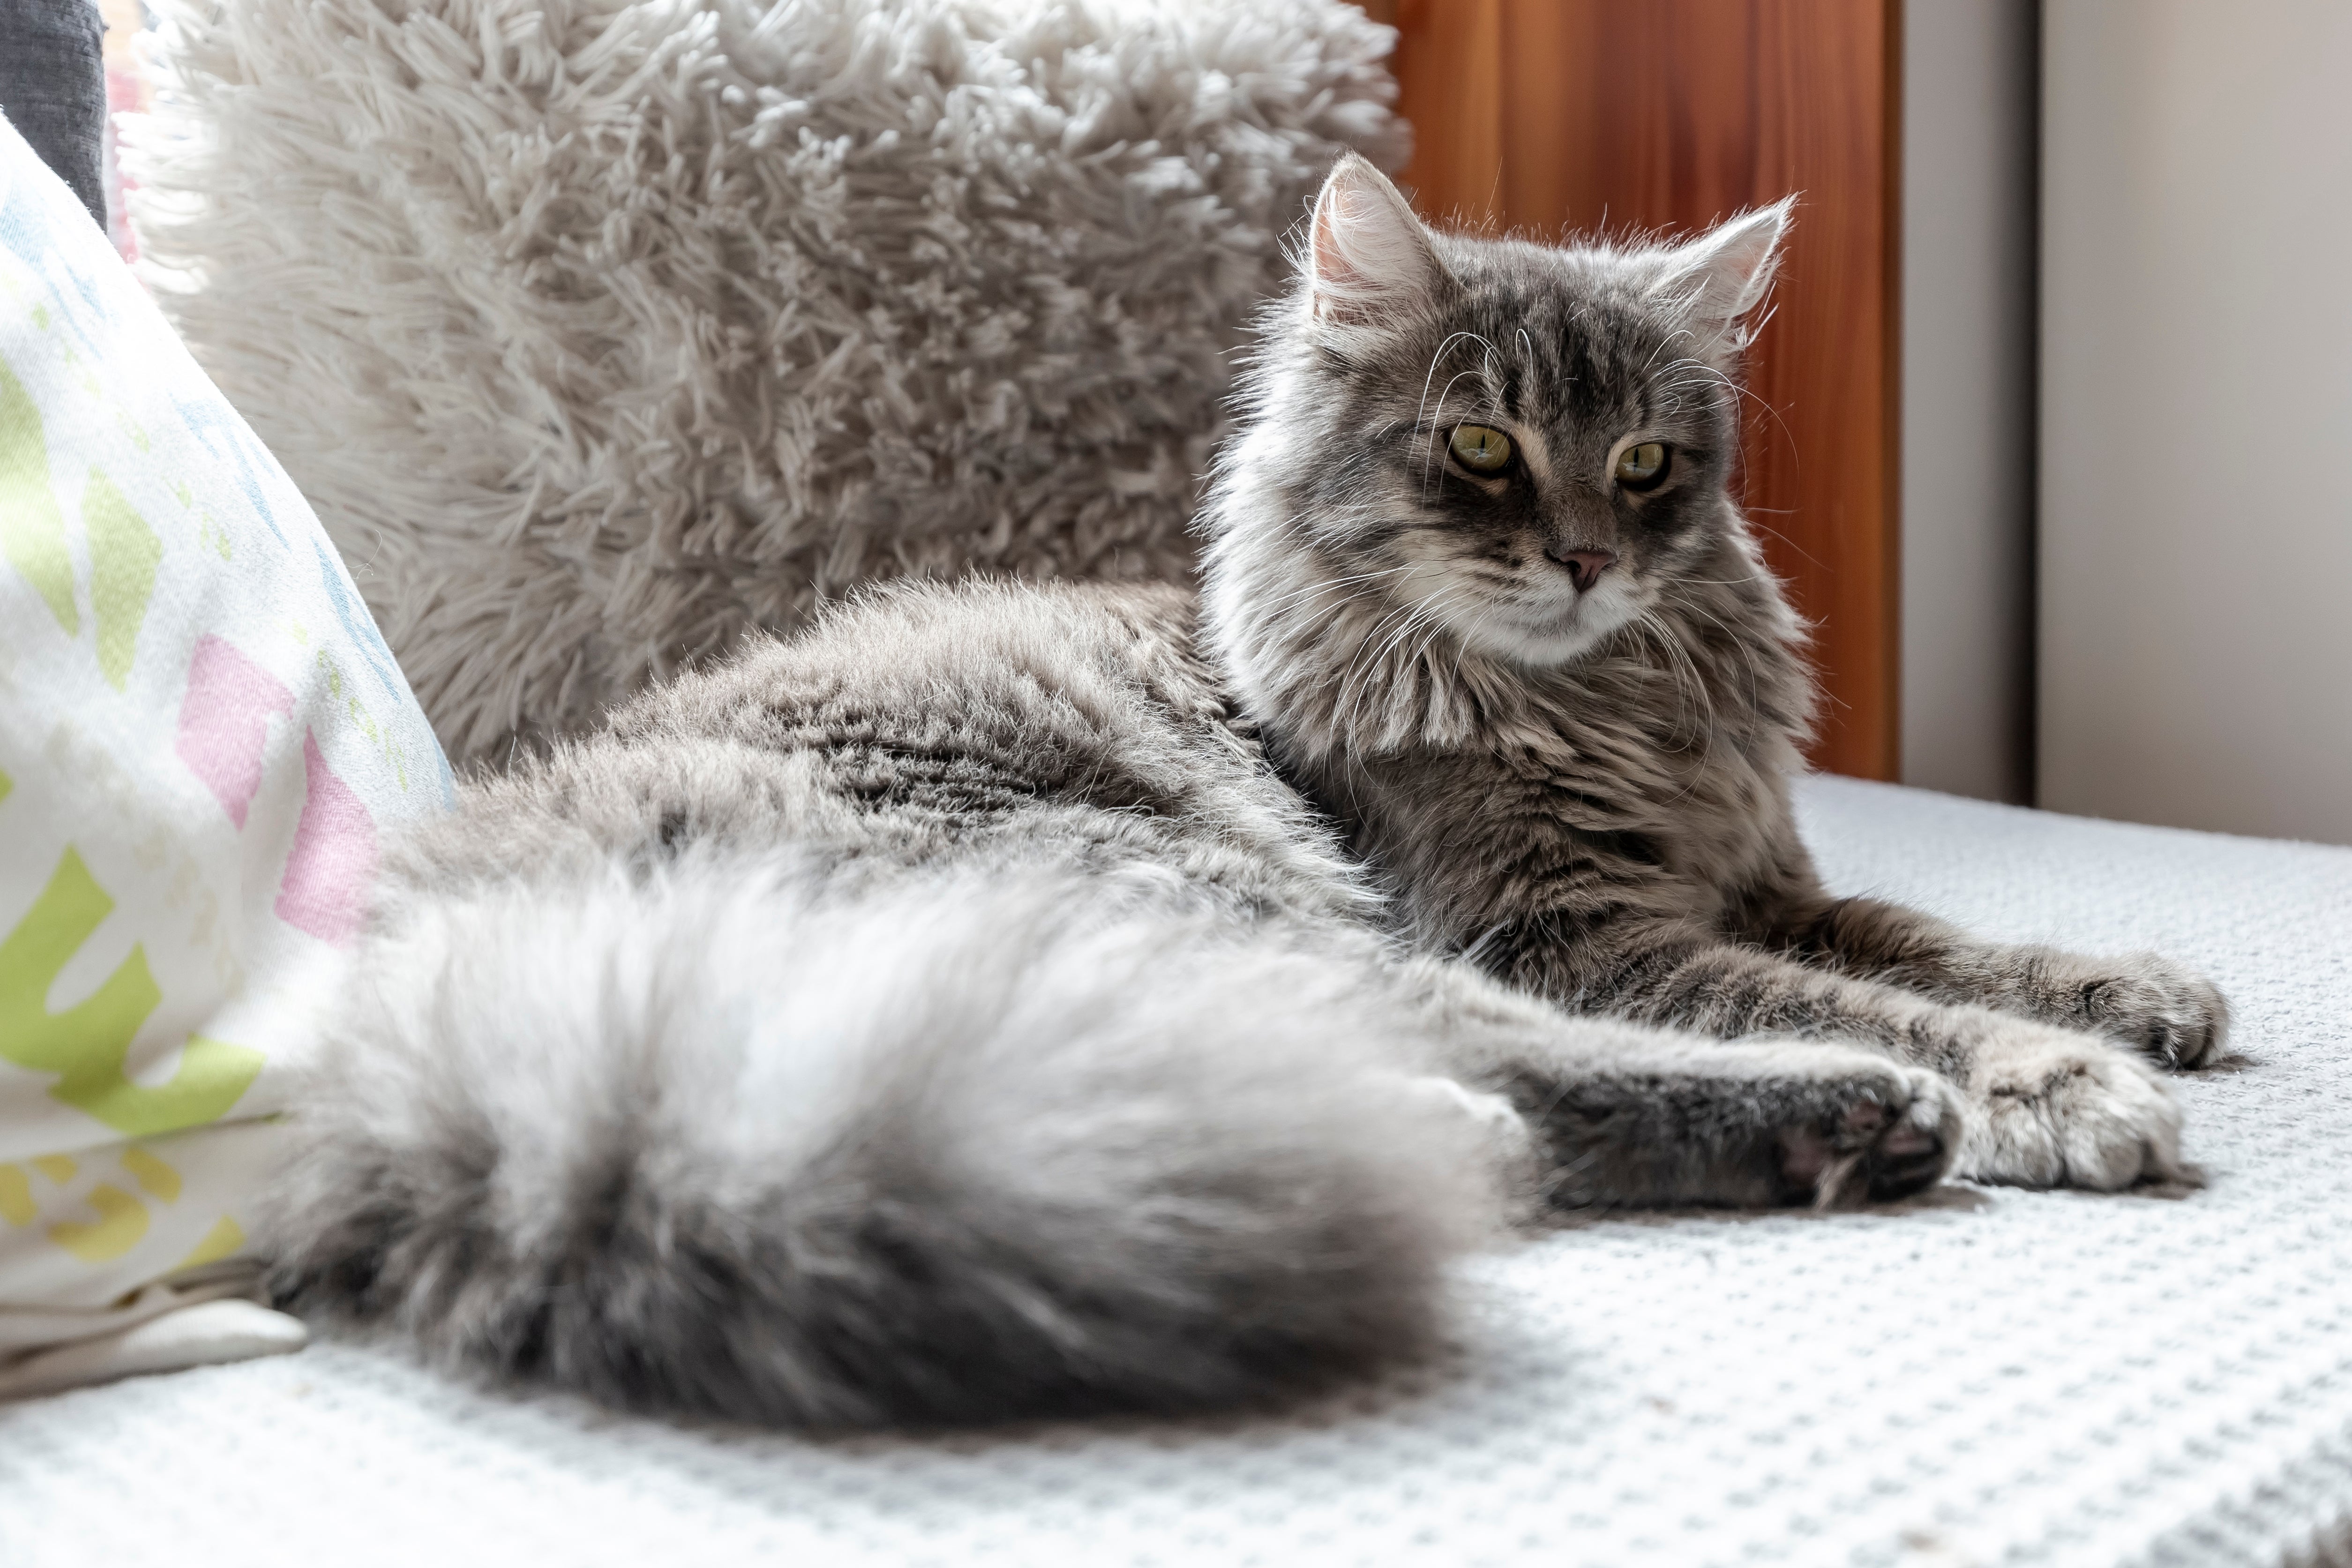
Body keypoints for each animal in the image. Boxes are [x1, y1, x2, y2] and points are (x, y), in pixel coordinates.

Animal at [267, 156, 2230, 1439]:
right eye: (1480, 449)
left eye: (1647, 464)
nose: (1586, 559)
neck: (1592, 697)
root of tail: (445, 952)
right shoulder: (1575, 932)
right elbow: (1875, 995)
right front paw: (2063, 1085)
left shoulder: (1758, 873)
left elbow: (1935, 935)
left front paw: (2136, 994)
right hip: (1193, 875)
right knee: (1458, 1056)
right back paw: (1838, 1119)